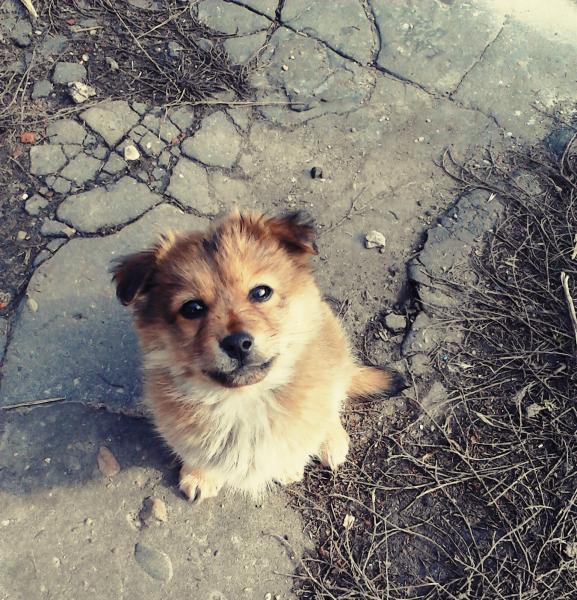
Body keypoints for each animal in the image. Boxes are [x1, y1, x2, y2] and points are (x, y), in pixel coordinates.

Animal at [112, 211, 403, 501]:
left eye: (261, 292)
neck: (244, 401)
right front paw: (199, 475)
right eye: (192, 308)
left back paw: (332, 441)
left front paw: (288, 467)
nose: (237, 344)